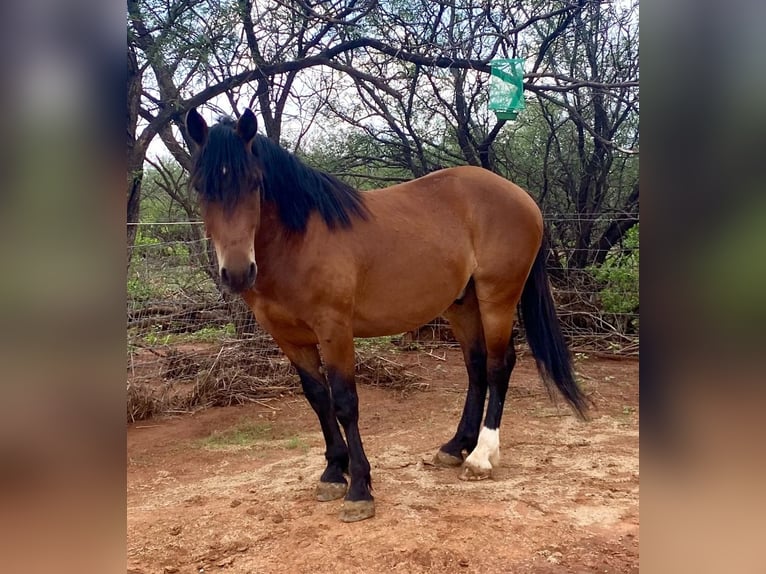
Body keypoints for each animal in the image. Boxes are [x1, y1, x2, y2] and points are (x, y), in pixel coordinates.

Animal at [186, 109, 588, 528]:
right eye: (200, 187)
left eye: (254, 182)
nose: (237, 273)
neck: (296, 241)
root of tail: (523, 198)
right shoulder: (288, 337)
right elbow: (318, 399)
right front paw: (334, 472)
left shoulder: (334, 330)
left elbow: (345, 403)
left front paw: (359, 489)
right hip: (463, 304)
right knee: (476, 367)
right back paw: (455, 446)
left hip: (498, 297)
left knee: (498, 365)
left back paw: (481, 457)